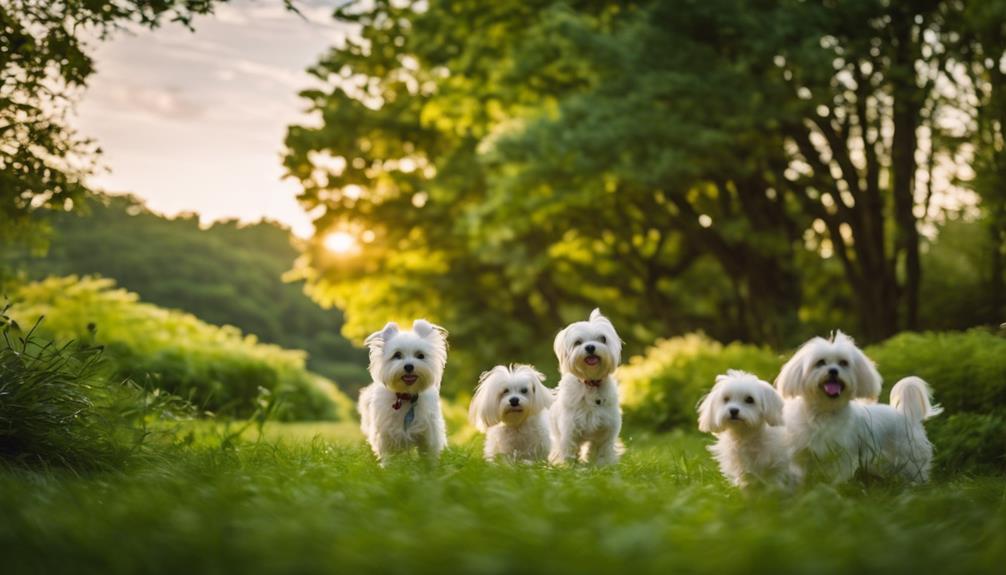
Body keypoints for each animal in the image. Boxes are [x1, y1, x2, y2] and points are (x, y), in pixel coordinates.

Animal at [356, 319, 446, 462]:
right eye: (397, 355)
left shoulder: (428, 431)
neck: (406, 395)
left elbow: (428, 453)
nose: (409, 366)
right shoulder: (385, 432)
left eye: (420, 355)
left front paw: (430, 467)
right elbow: (387, 455)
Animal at [547, 307, 623, 464]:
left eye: (603, 339)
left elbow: (603, 451)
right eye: (578, 342)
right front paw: (570, 466)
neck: (591, 382)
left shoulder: (606, 429)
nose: (590, 347)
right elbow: (569, 450)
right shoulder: (570, 429)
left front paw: (603, 466)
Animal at [768, 329, 941, 482]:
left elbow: (837, 477)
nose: (833, 371)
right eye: (820, 362)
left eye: (843, 363)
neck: (824, 411)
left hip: (909, 454)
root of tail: (905, 414)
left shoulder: (841, 454)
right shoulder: (802, 453)